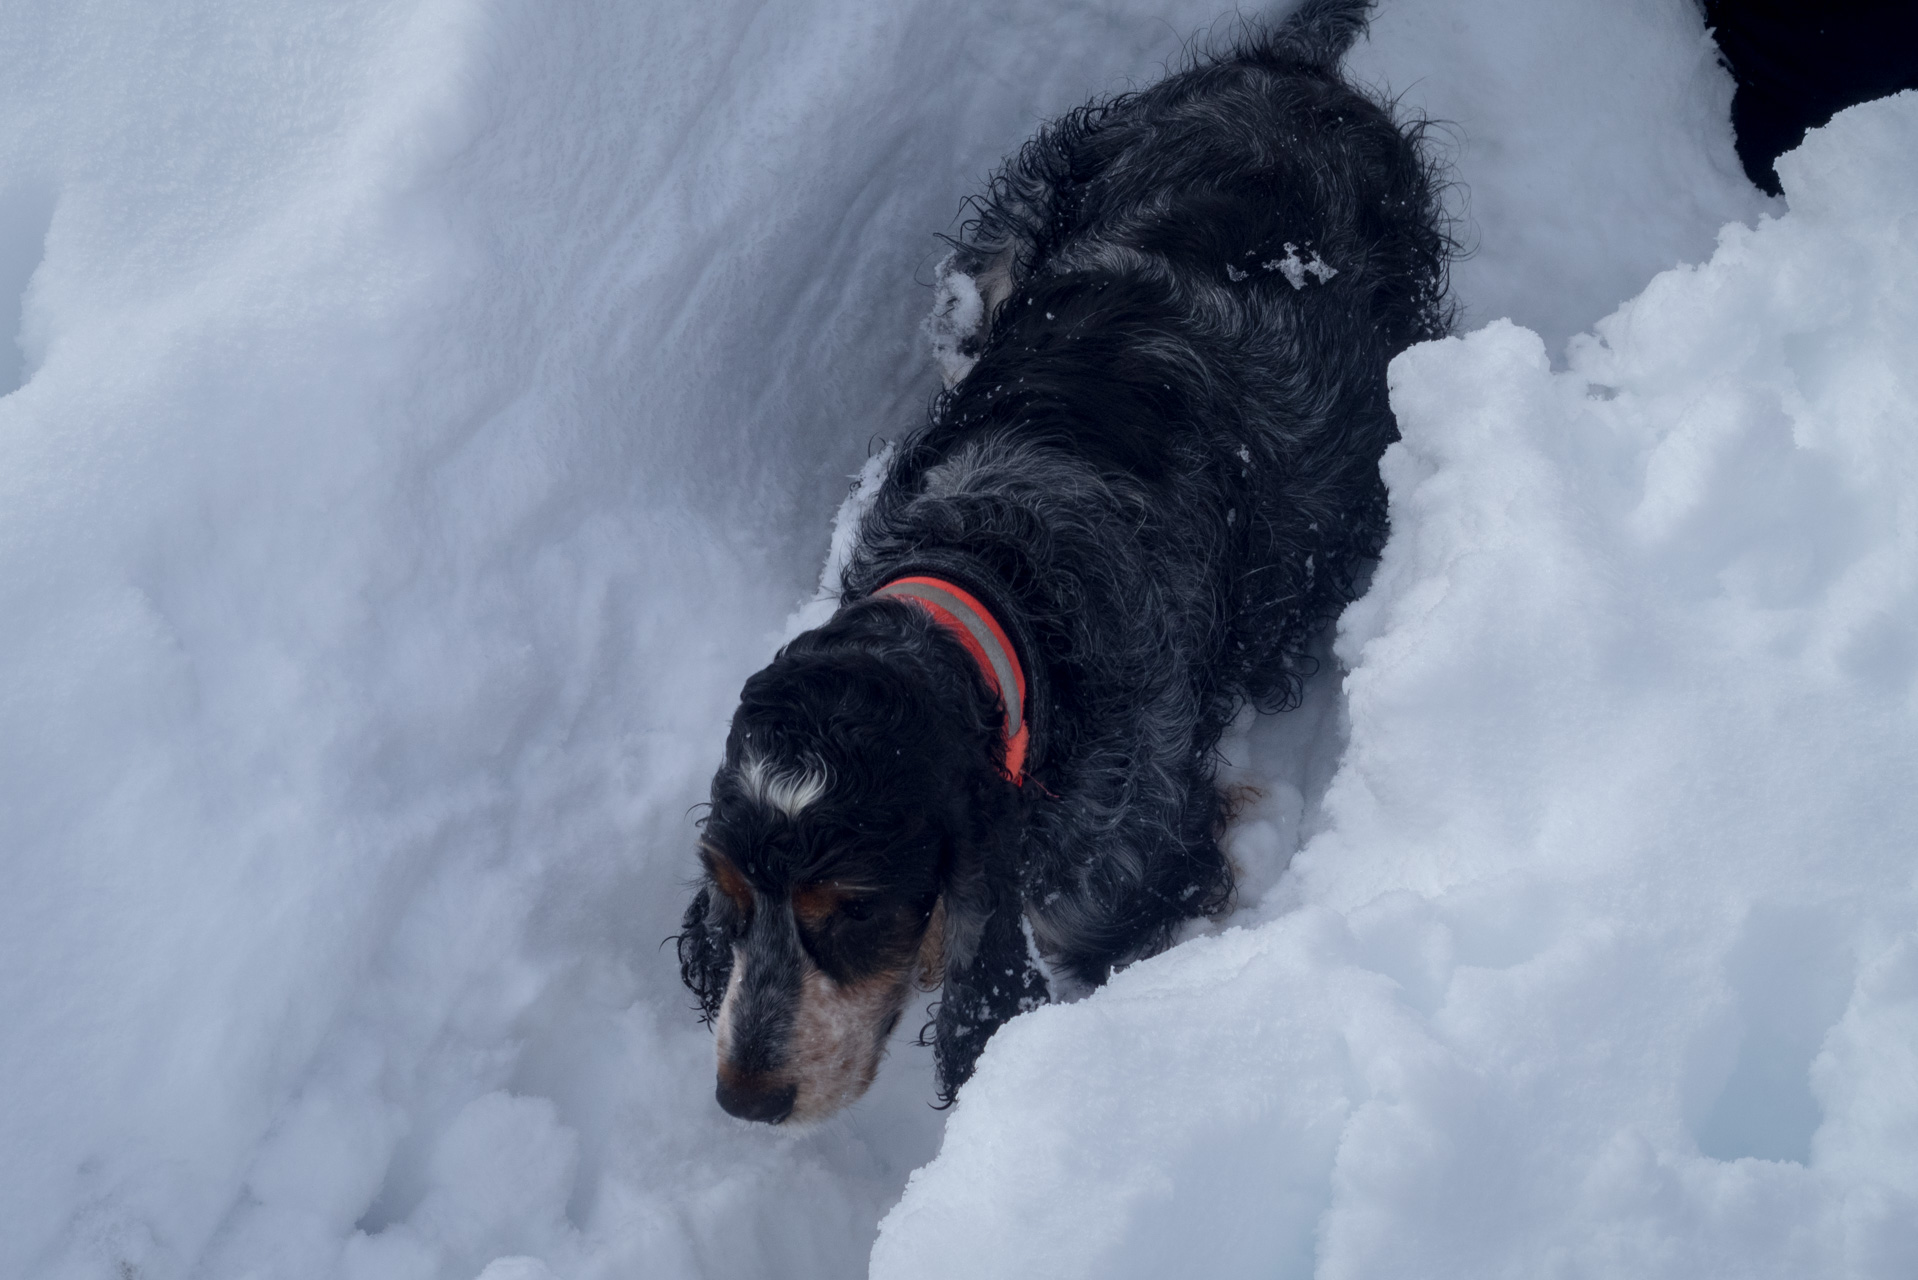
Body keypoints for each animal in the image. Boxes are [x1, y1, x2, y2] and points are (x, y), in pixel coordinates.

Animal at [682, 0, 1442, 1120]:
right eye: (729, 893)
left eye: (853, 906)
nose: (745, 1096)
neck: (996, 576)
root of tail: (1292, 72)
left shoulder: (1128, 865)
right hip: (1026, 207)